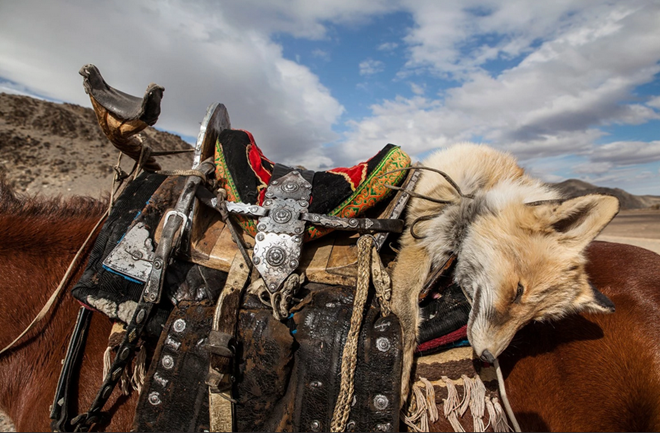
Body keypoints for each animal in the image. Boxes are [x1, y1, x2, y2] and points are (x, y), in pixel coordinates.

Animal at [392, 143, 620, 400]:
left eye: (533, 320)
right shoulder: (417, 240)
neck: (476, 195)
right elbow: (405, 317)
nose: (488, 356)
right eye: (518, 291)